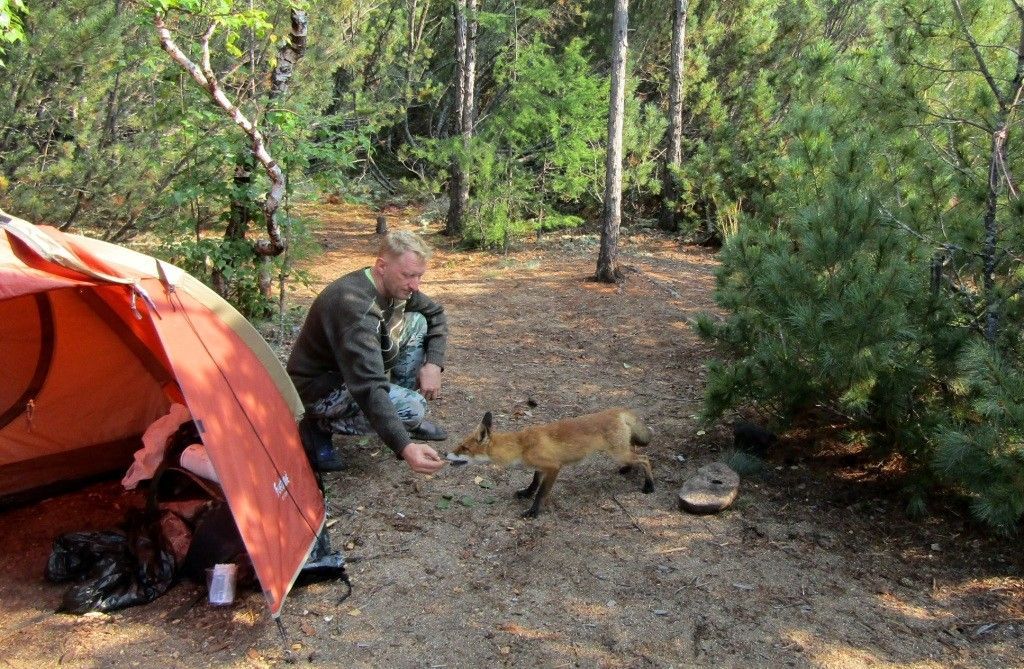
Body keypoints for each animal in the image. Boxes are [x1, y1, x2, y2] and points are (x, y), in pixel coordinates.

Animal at [450, 407, 655, 516]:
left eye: (464, 448)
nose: (446, 454)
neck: (521, 446)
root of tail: (616, 410)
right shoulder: (541, 467)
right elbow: (533, 483)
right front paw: (526, 493)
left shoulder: (554, 467)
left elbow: (541, 493)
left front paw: (533, 512)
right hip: (621, 452)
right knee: (636, 452)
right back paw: (627, 469)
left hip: (618, 453)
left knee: (645, 458)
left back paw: (649, 486)